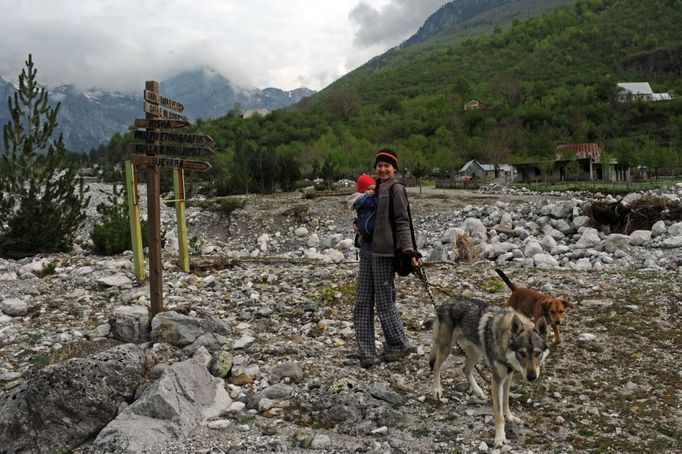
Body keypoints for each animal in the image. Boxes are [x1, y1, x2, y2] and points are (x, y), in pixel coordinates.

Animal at [430, 298, 548, 446]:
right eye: (522, 354)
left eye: (537, 353)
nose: (532, 377)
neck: (504, 339)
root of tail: (444, 304)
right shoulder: (496, 379)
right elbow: (498, 412)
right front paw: (500, 437)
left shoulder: (508, 376)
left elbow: (505, 401)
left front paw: (510, 417)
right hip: (446, 349)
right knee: (436, 367)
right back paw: (437, 390)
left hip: (475, 353)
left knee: (465, 369)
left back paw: (478, 391)